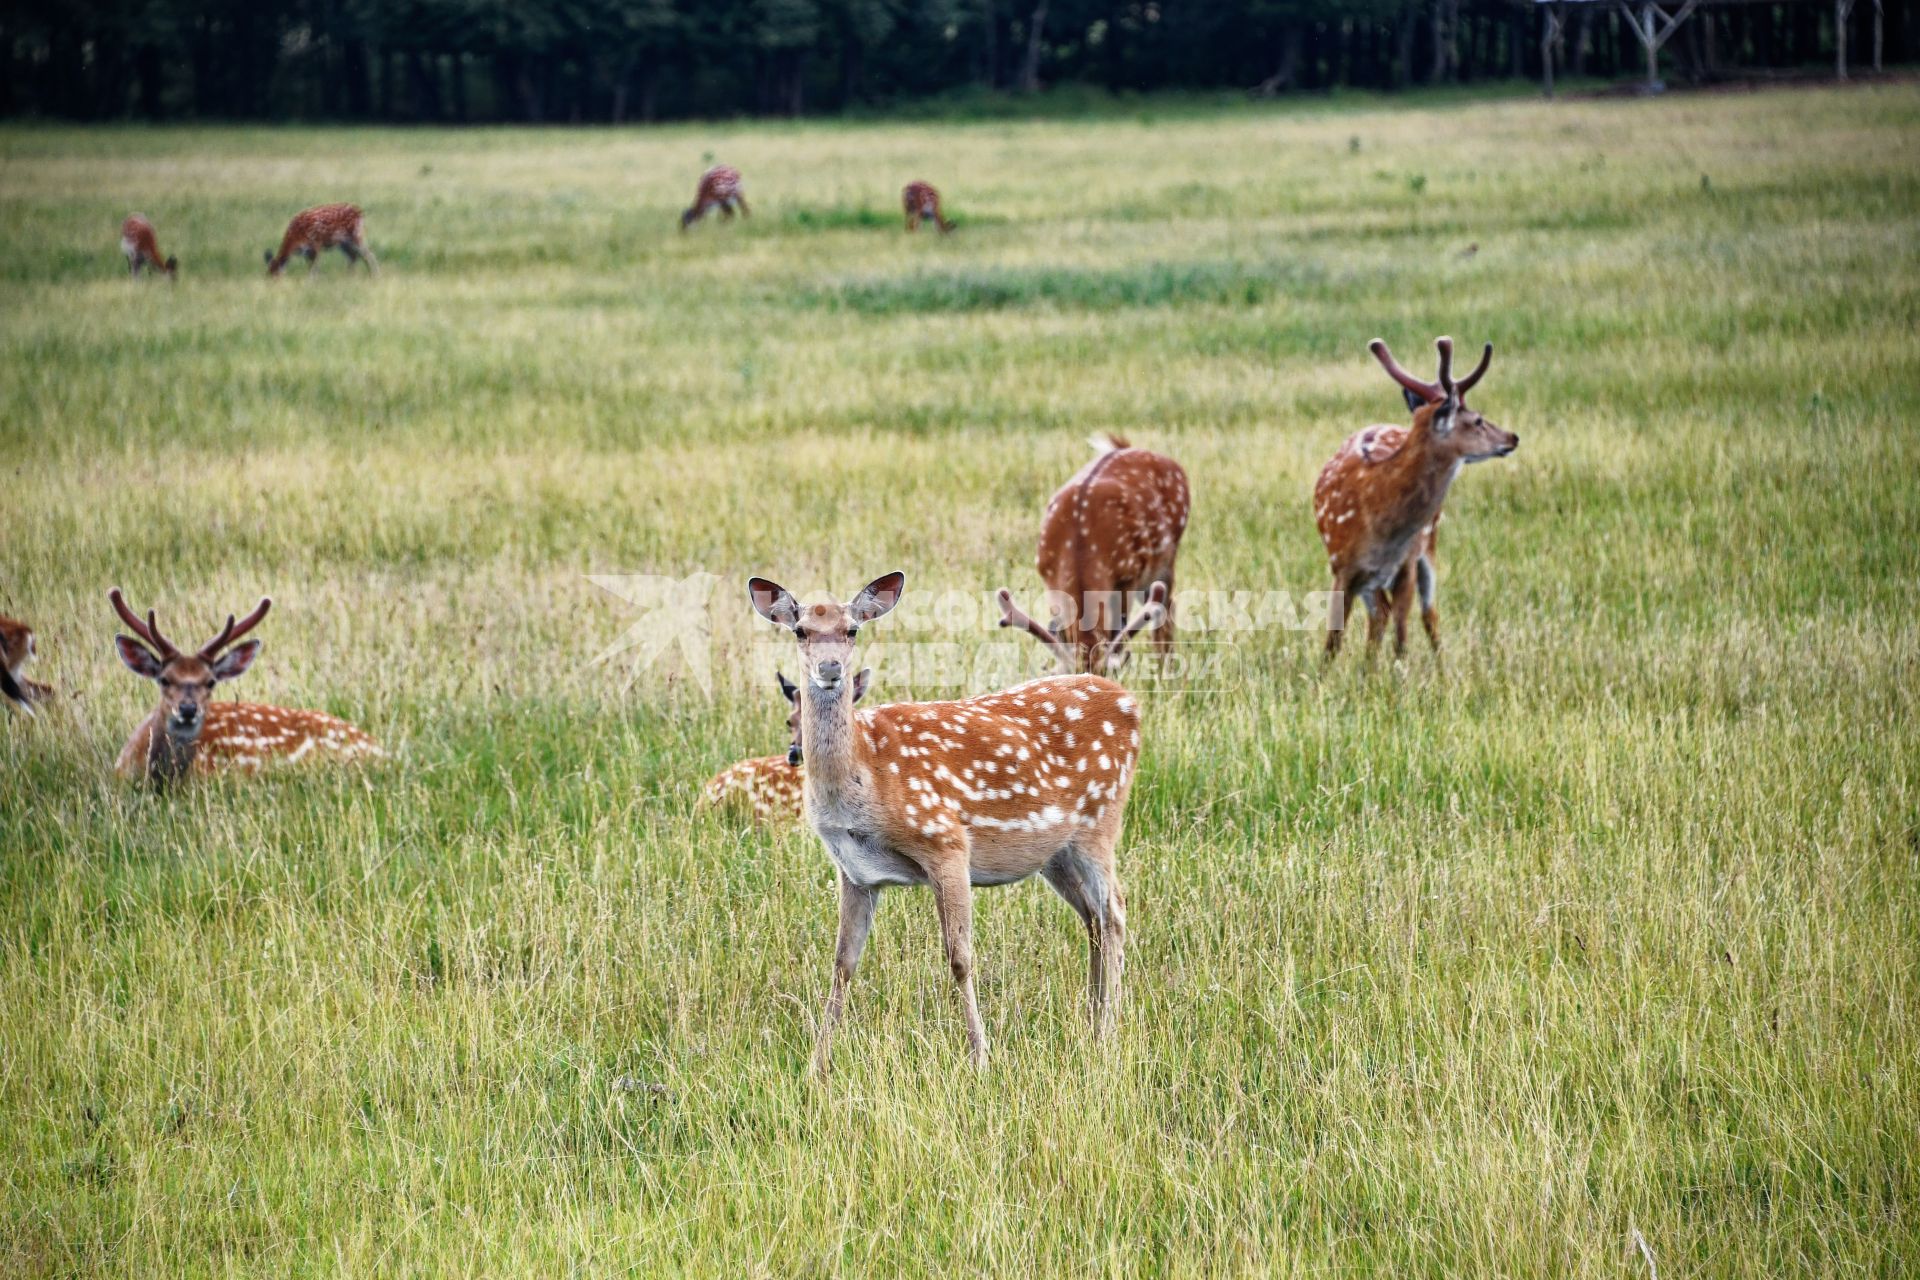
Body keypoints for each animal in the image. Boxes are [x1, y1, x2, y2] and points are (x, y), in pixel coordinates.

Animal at [744, 571, 1136, 1074]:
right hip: (1056, 853)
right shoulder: (853, 870)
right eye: (800, 631)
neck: (863, 775)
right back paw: (1090, 1023)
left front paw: (980, 1057)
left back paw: (1109, 1033)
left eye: (852, 630)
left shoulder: (946, 841)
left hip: (1099, 821)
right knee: (1092, 920)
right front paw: (817, 1065)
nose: (830, 668)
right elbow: (843, 963)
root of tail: (1132, 703)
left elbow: (959, 957)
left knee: (1114, 913)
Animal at [1006, 435, 1182, 675]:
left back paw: (1167, 670)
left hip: (1167, 559)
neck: (1080, 549)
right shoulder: (1048, 577)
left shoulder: (1128, 576)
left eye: (1109, 676)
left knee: (1166, 613)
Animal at [1313, 335, 1520, 660]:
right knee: (1381, 615)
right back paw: (1369, 668)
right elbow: (1333, 641)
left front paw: (1400, 673)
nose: (1512, 437)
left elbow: (1402, 639)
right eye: (1477, 420)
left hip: (1428, 545)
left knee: (1427, 615)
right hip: (1370, 577)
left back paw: (1438, 667)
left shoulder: (1406, 564)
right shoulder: (1341, 565)